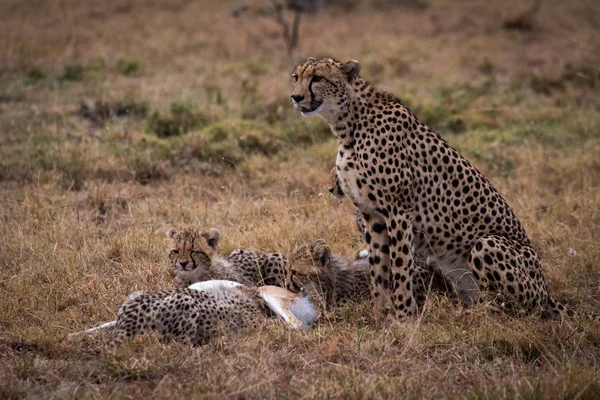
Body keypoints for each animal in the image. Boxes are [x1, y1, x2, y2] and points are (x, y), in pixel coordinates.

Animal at [292, 56, 576, 320]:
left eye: (317, 78)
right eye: (296, 77)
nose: (295, 97)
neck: (348, 124)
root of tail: (546, 292)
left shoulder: (398, 211)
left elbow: (400, 266)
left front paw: (404, 317)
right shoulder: (372, 215)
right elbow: (378, 269)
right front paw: (380, 315)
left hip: (488, 243)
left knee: (507, 307)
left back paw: (471, 315)